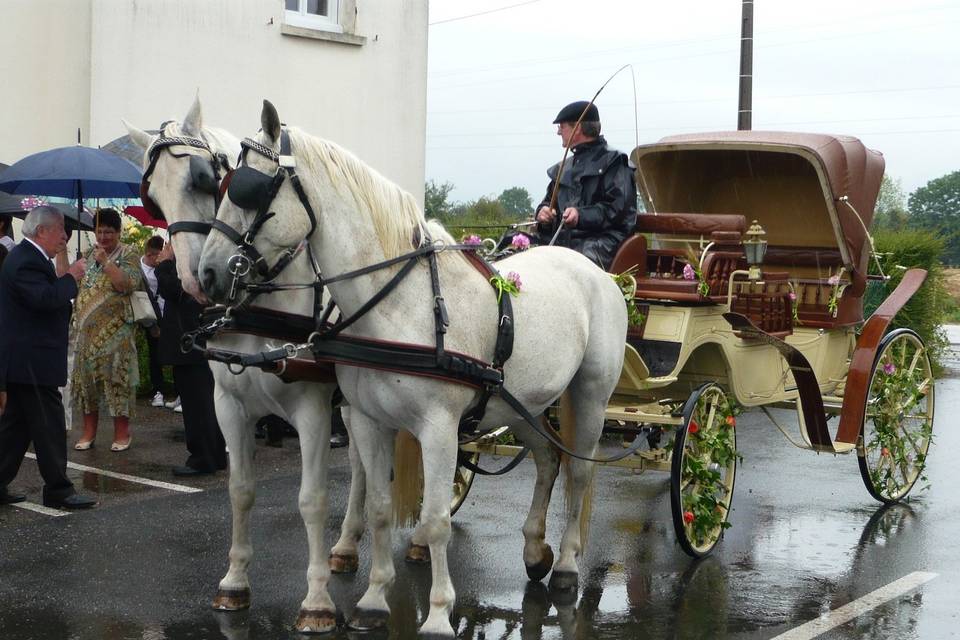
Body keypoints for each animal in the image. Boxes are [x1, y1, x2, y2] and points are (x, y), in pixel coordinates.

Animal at [199, 100, 628, 636]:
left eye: (249, 188)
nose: (207, 274)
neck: (400, 302)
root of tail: (595, 272)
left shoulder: (439, 428)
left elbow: (436, 520)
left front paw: (439, 614)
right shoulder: (366, 420)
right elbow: (380, 507)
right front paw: (373, 599)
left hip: (590, 395)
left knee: (579, 473)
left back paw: (568, 564)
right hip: (521, 403)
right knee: (549, 460)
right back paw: (534, 550)